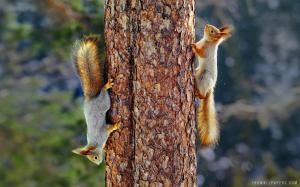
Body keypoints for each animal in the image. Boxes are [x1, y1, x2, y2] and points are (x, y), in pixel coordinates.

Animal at [71, 35, 120, 165]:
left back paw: (106, 86)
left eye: (95, 158)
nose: (98, 164)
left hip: (104, 101)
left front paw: (116, 125)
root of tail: (91, 98)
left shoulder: (102, 132)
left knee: (103, 91)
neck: (95, 143)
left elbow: (109, 128)